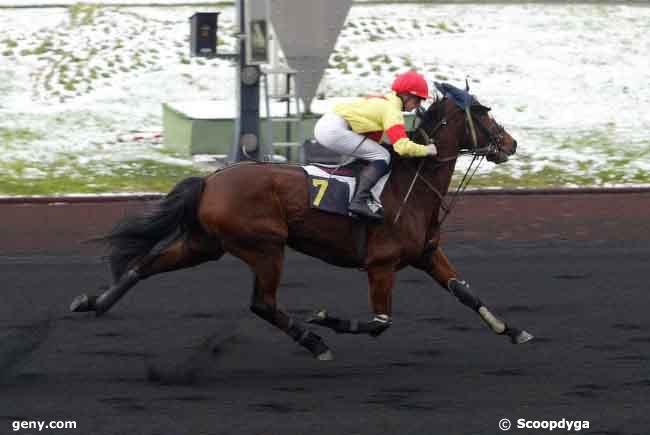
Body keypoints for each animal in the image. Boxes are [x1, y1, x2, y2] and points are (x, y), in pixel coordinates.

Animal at [69, 82, 532, 362]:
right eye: (485, 113)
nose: (510, 143)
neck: (411, 186)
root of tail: (212, 179)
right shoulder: (381, 265)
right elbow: (380, 323)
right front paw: (325, 320)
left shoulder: (427, 254)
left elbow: (465, 292)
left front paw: (511, 330)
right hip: (265, 247)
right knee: (262, 303)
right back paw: (314, 340)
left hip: (207, 244)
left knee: (146, 265)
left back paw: (93, 302)